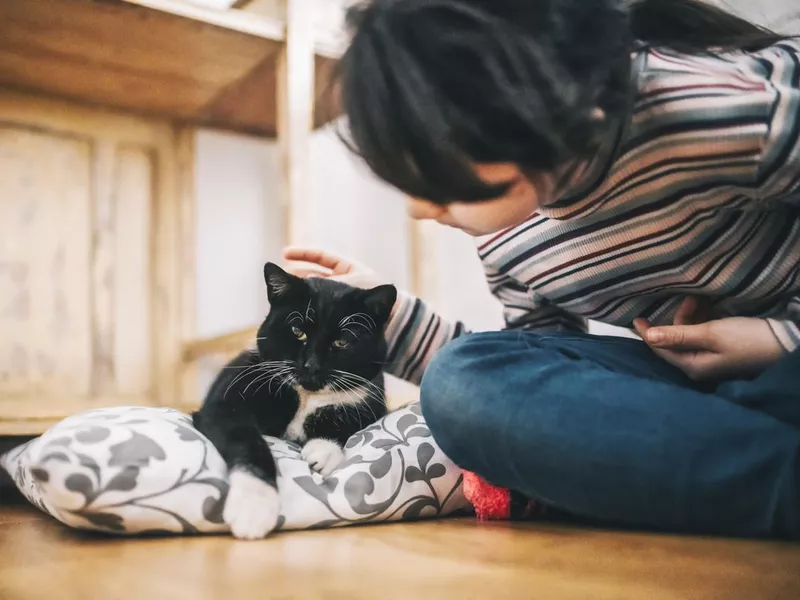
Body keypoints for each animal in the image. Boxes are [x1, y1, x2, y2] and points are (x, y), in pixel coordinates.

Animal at [191, 262, 396, 540]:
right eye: (298, 332)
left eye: (341, 342)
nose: (311, 365)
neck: (307, 396)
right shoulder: (225, 404)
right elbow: (247, 440)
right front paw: (253, 507)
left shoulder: (372, 398)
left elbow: (349, 421)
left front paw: (323, 451)